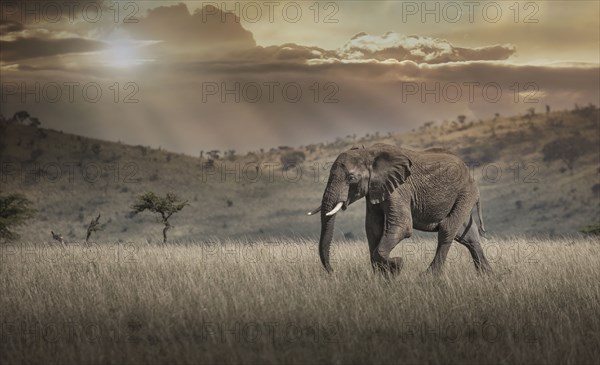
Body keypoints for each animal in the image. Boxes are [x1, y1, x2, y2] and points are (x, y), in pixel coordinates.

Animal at [310, 144, 492, 274]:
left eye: (351, 178)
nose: (333, 271)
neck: (369, 153)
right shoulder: (374, 191)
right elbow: (372, 228)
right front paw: (384, 276)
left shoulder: (400, 188)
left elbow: (402, 226)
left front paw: (397, 264)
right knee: (467, 236)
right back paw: (487, 276)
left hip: (465, 193)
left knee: (447, 229)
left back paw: (428, 276)